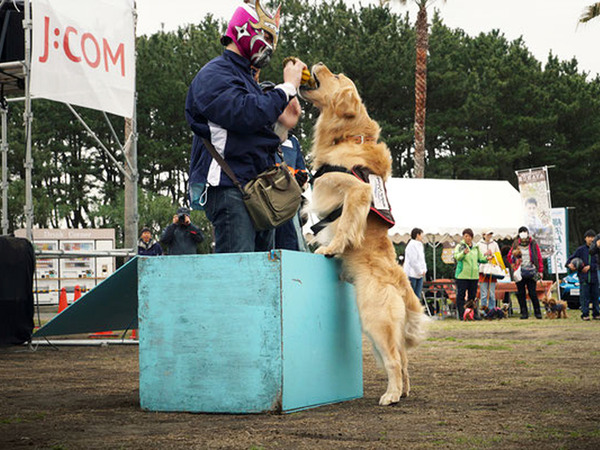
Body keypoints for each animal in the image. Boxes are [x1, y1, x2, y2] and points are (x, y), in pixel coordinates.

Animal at [300, 62, 426, 404]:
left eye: (336, 76)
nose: (319, 63)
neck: (347, 136)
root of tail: (401, 282)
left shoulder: (356, 189)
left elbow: (344, 223)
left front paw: (330, 248)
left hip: (374, 321)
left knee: (395, 360)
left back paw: (390, 396)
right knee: (404, 361)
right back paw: (403, 391)